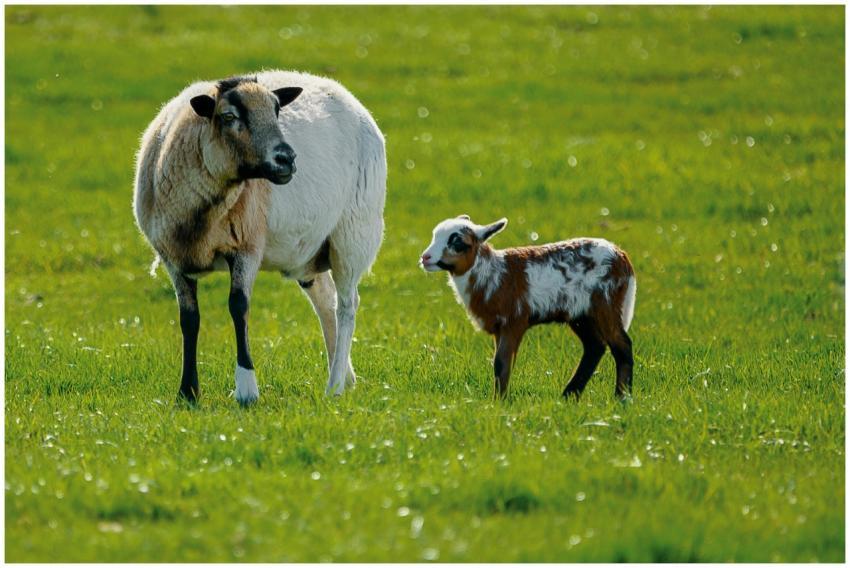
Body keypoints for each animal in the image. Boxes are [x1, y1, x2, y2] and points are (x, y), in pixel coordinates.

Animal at [133, 71, 386, 404]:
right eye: (229, 116)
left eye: (277, 110)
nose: (287, 159)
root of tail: (349, 98)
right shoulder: (173, 258)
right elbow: (189, 319)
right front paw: (187, 392)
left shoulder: (246, 247)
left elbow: (238, 306)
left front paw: (246, 389)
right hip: (311, 251)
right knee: (326, 300)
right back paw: (344, 376)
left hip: (353, 234)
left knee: (347, 306)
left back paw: (333, 386)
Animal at [420, 215, 636, 400]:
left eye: (457, 243)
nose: (425, 257)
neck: (493, 272)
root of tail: (622, 257)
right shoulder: (499, 328)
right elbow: (499, 364)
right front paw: (498, 399)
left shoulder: (514, 321)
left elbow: (501, 363)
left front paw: (499, 403)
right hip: (580, 314)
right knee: (595, 347)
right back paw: (568, 397)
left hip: (607, 303)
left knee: (622, 346)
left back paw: (622, 398)